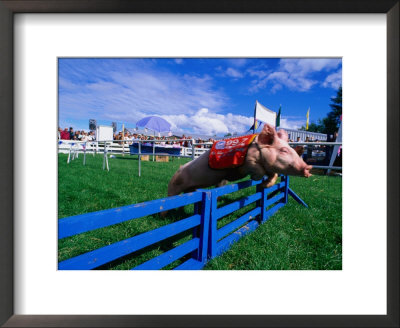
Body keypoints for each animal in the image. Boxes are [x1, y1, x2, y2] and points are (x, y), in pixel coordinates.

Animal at [167, 122, 314, 195]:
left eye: (293, 150)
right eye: (284, 150)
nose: (308, 167)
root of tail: (179, 169)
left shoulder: (270, 168)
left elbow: (275, 175)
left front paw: (264, 185)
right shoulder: (248, 161)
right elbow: (258, 170)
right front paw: (255, 178)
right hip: (173, 185)